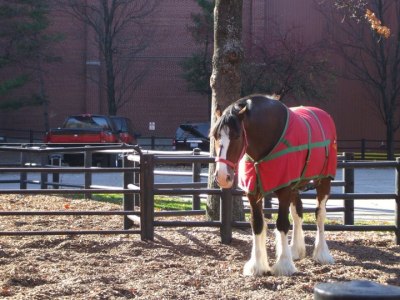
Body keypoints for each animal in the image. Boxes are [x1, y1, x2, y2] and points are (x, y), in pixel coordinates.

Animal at [212, 94, 338, 276]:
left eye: (236, 136)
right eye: (215, 136)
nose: (222, 177)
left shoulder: (284, 190)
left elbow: (282, 224)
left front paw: (284, 264)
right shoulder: (253, 192)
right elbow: (257, 224)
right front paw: (257, 266)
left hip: (324, 181)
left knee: (319, 214)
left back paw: (322, 253)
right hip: (295, 186)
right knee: (298, 213)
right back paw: (295, 250)